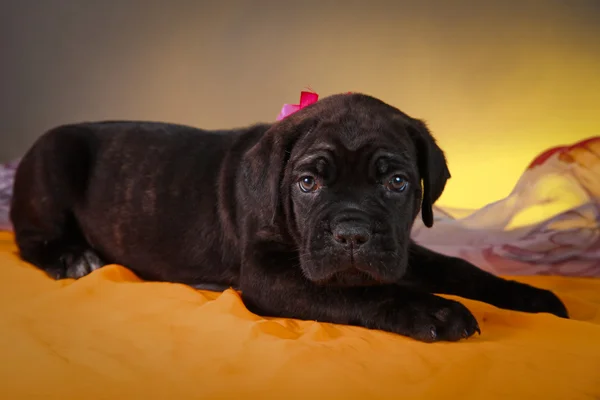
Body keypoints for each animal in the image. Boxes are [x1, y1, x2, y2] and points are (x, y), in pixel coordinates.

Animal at [9, 93, 568, 340]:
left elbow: (461, 268)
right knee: (28, 237)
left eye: (397, 182)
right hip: (54, 159)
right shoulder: (269, 274)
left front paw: (530, 296)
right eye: (307, 183)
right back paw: (72, 258)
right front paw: (433, 311)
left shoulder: (403, 248)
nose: (351, 235)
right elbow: (363, 291)